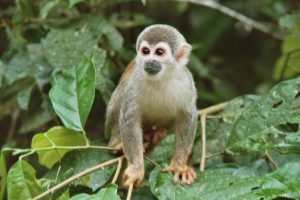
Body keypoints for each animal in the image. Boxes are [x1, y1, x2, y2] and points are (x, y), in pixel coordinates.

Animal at [105, 24, 197, 188]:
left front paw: (180, 165)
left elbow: (187, 116)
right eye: (146, 51)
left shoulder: (187, 82)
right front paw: (136, 168)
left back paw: (157, 133)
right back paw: (116, 143)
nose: (150, 60)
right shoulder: (135, 82)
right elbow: (129, 117)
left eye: (159, 52)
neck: (161, 78)